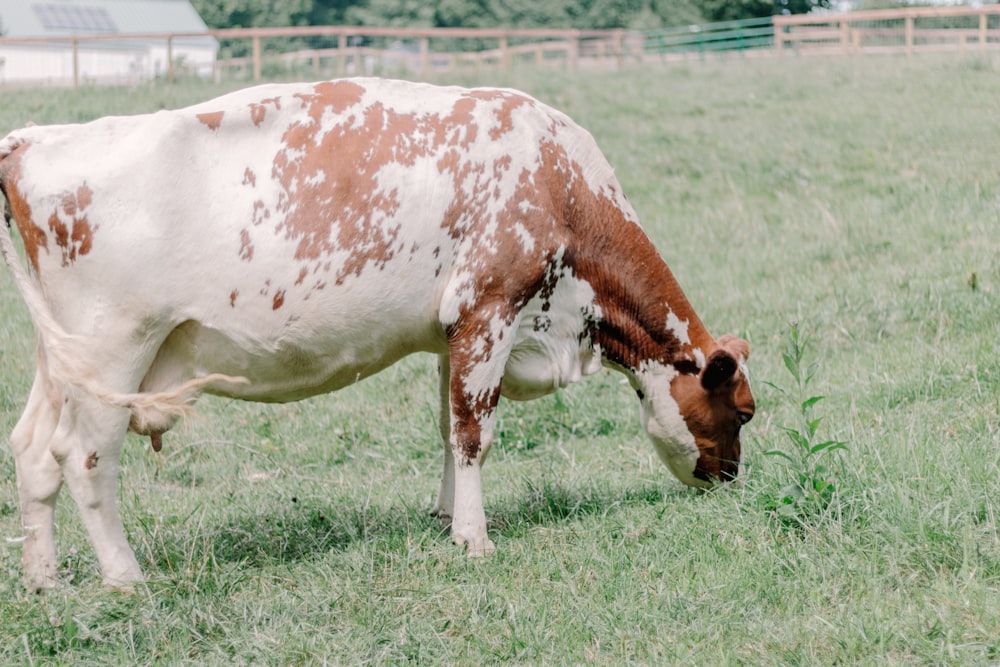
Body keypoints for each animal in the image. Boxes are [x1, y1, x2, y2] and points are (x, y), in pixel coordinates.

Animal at [0, 78, 752, 588]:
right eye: (742, 411)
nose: (732, 479)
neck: (561, 185)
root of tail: (32, 140)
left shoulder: (453, 331)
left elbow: (447, 428)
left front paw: (445, 517)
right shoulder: (488, 308)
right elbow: (474, 432)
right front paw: (474, 539)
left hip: (63, 358)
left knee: (34, 448)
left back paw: (44, 578)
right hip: (114, 350)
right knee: (85, 456)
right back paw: (125, 576)